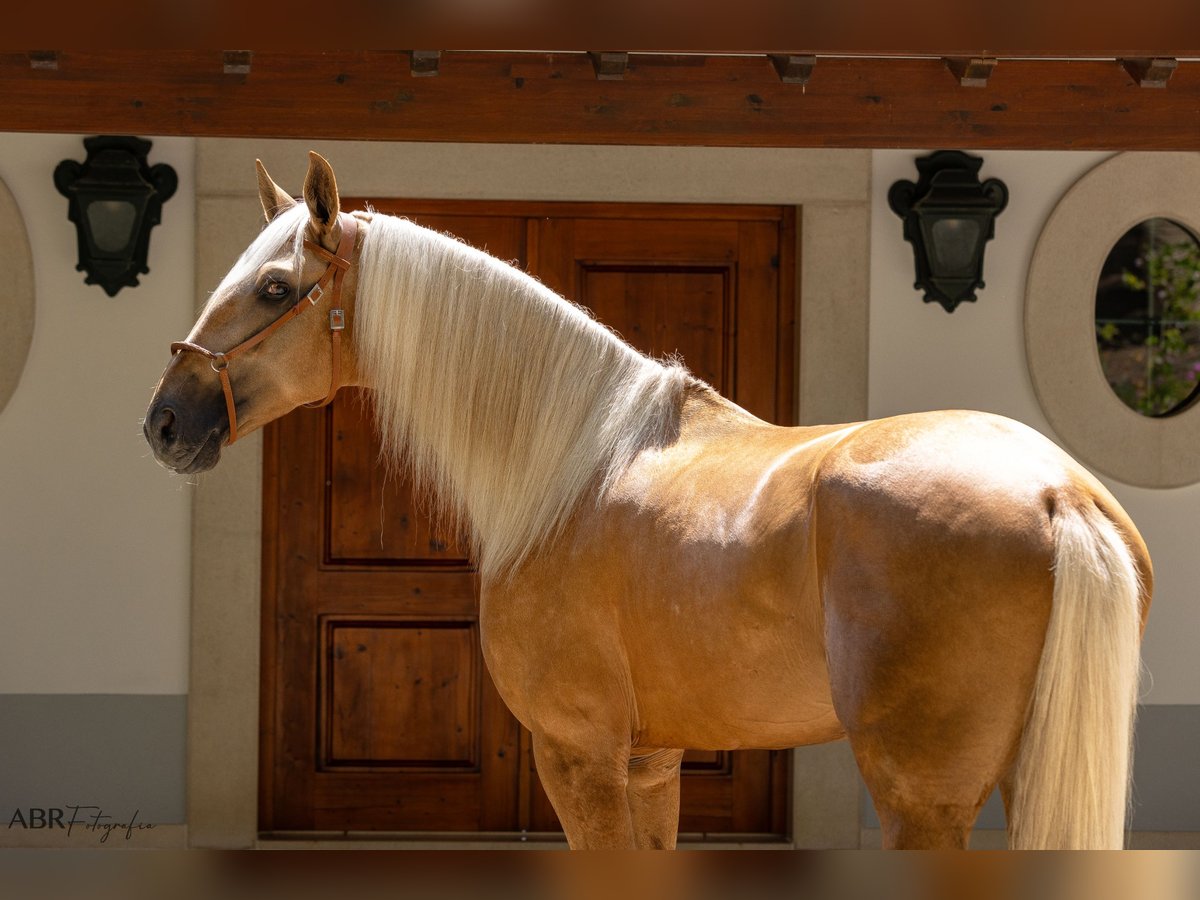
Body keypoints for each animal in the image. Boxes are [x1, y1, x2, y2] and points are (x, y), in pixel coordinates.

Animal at [145, 154, 1147, 854]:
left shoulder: (577, 754)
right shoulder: (652, 761)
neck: (571, 467)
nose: (165, 420)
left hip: (920, 796)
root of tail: (1059, 491)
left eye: (275, 288)